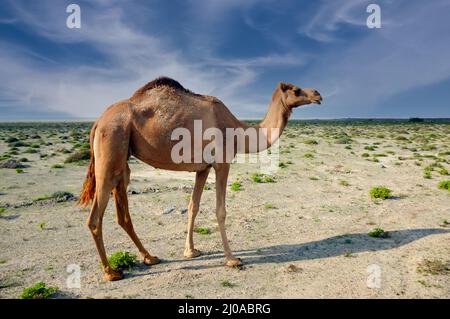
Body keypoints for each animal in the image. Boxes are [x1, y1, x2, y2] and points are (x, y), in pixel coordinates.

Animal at [79, 77, 322, 282]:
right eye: (296, 90)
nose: (318, 94)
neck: (238, 132)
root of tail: (97, 122)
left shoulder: (203, 168)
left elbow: (193, 206)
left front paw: (191, 251)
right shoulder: (222, 163)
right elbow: (220, 210)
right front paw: (231, 259)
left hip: (122, 159)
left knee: (123, 214)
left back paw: (150, 257)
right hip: (111, 144)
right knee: (95, 217)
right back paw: (111, 272)